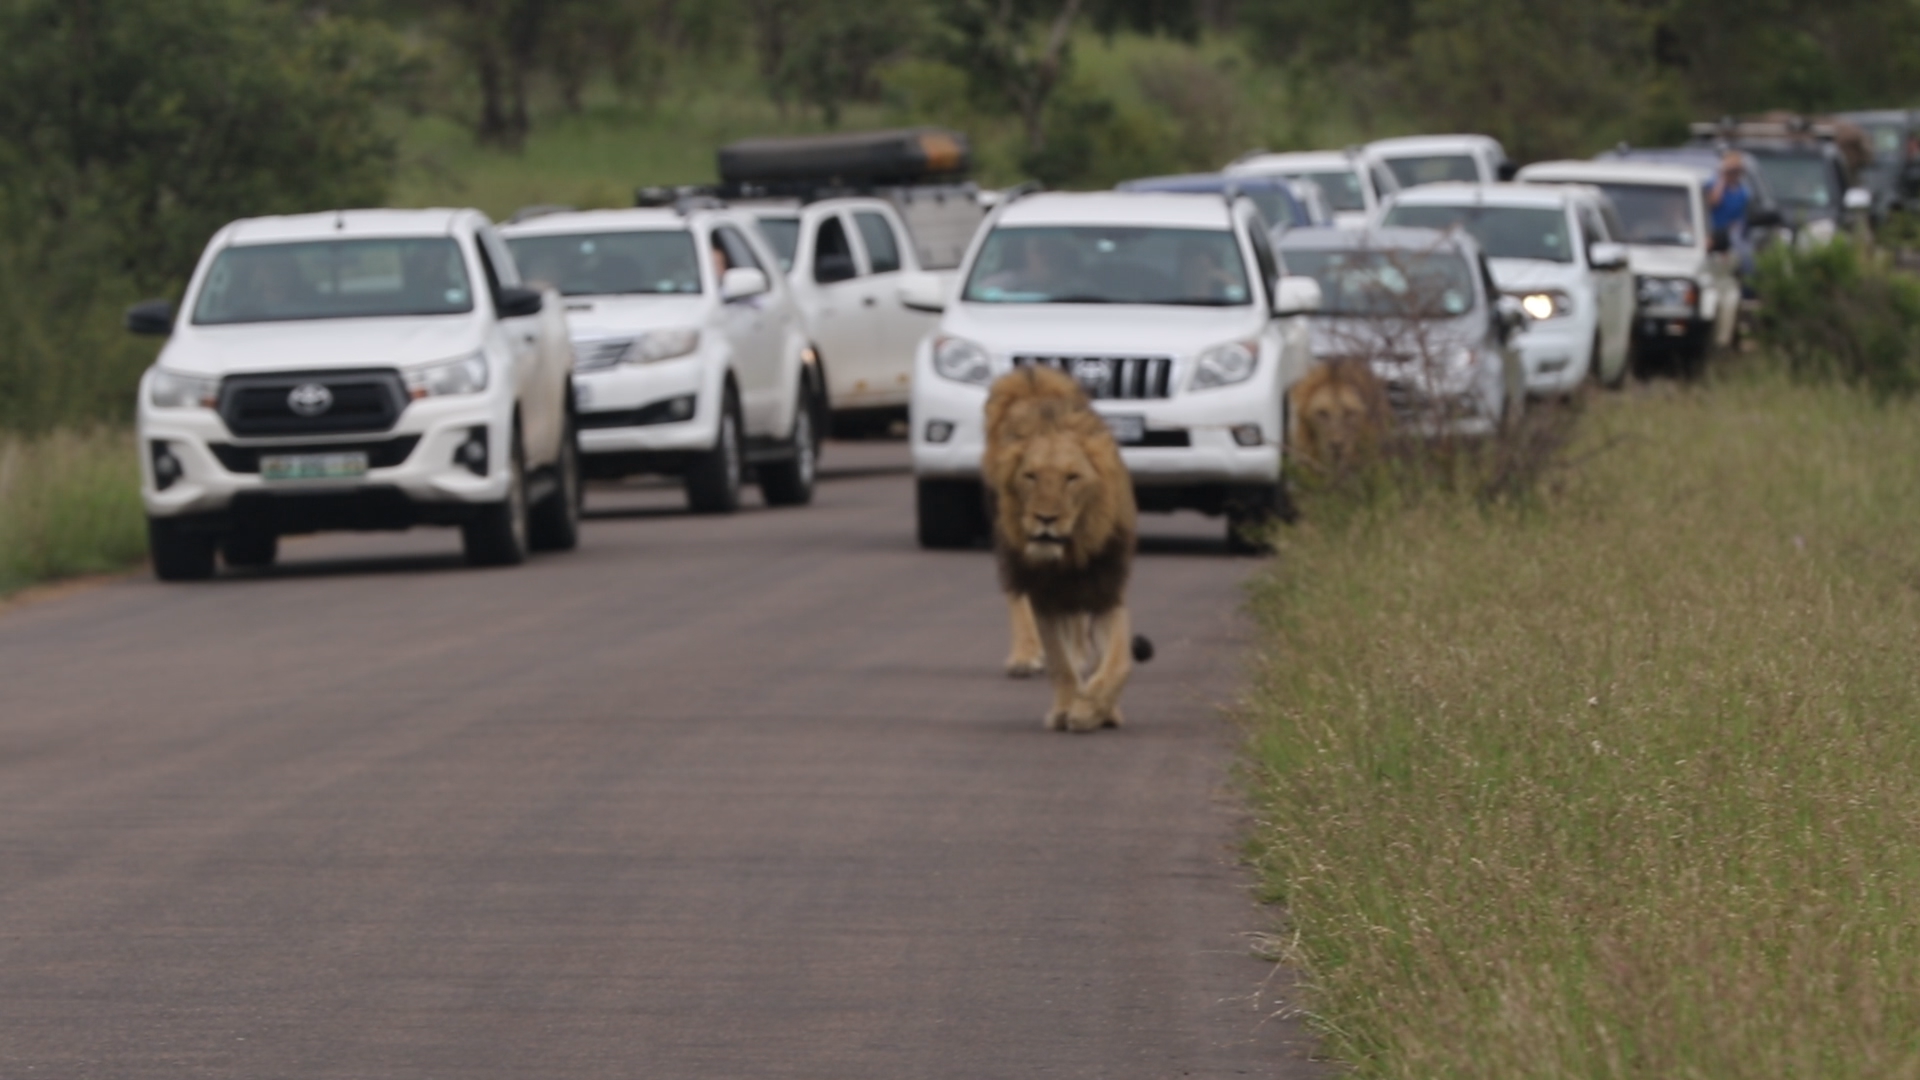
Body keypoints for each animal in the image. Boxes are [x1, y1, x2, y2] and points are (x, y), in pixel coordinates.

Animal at [984, 366, 1140, 732]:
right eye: (1030, 476)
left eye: (1072, 478)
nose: (1045, 518)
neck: (1070, 554)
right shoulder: (1045, 596)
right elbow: (1060, 663)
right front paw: (1070, 709)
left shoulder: (1105, 589)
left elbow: (1119, 662)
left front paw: (1098, 710)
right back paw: (1025, 657)